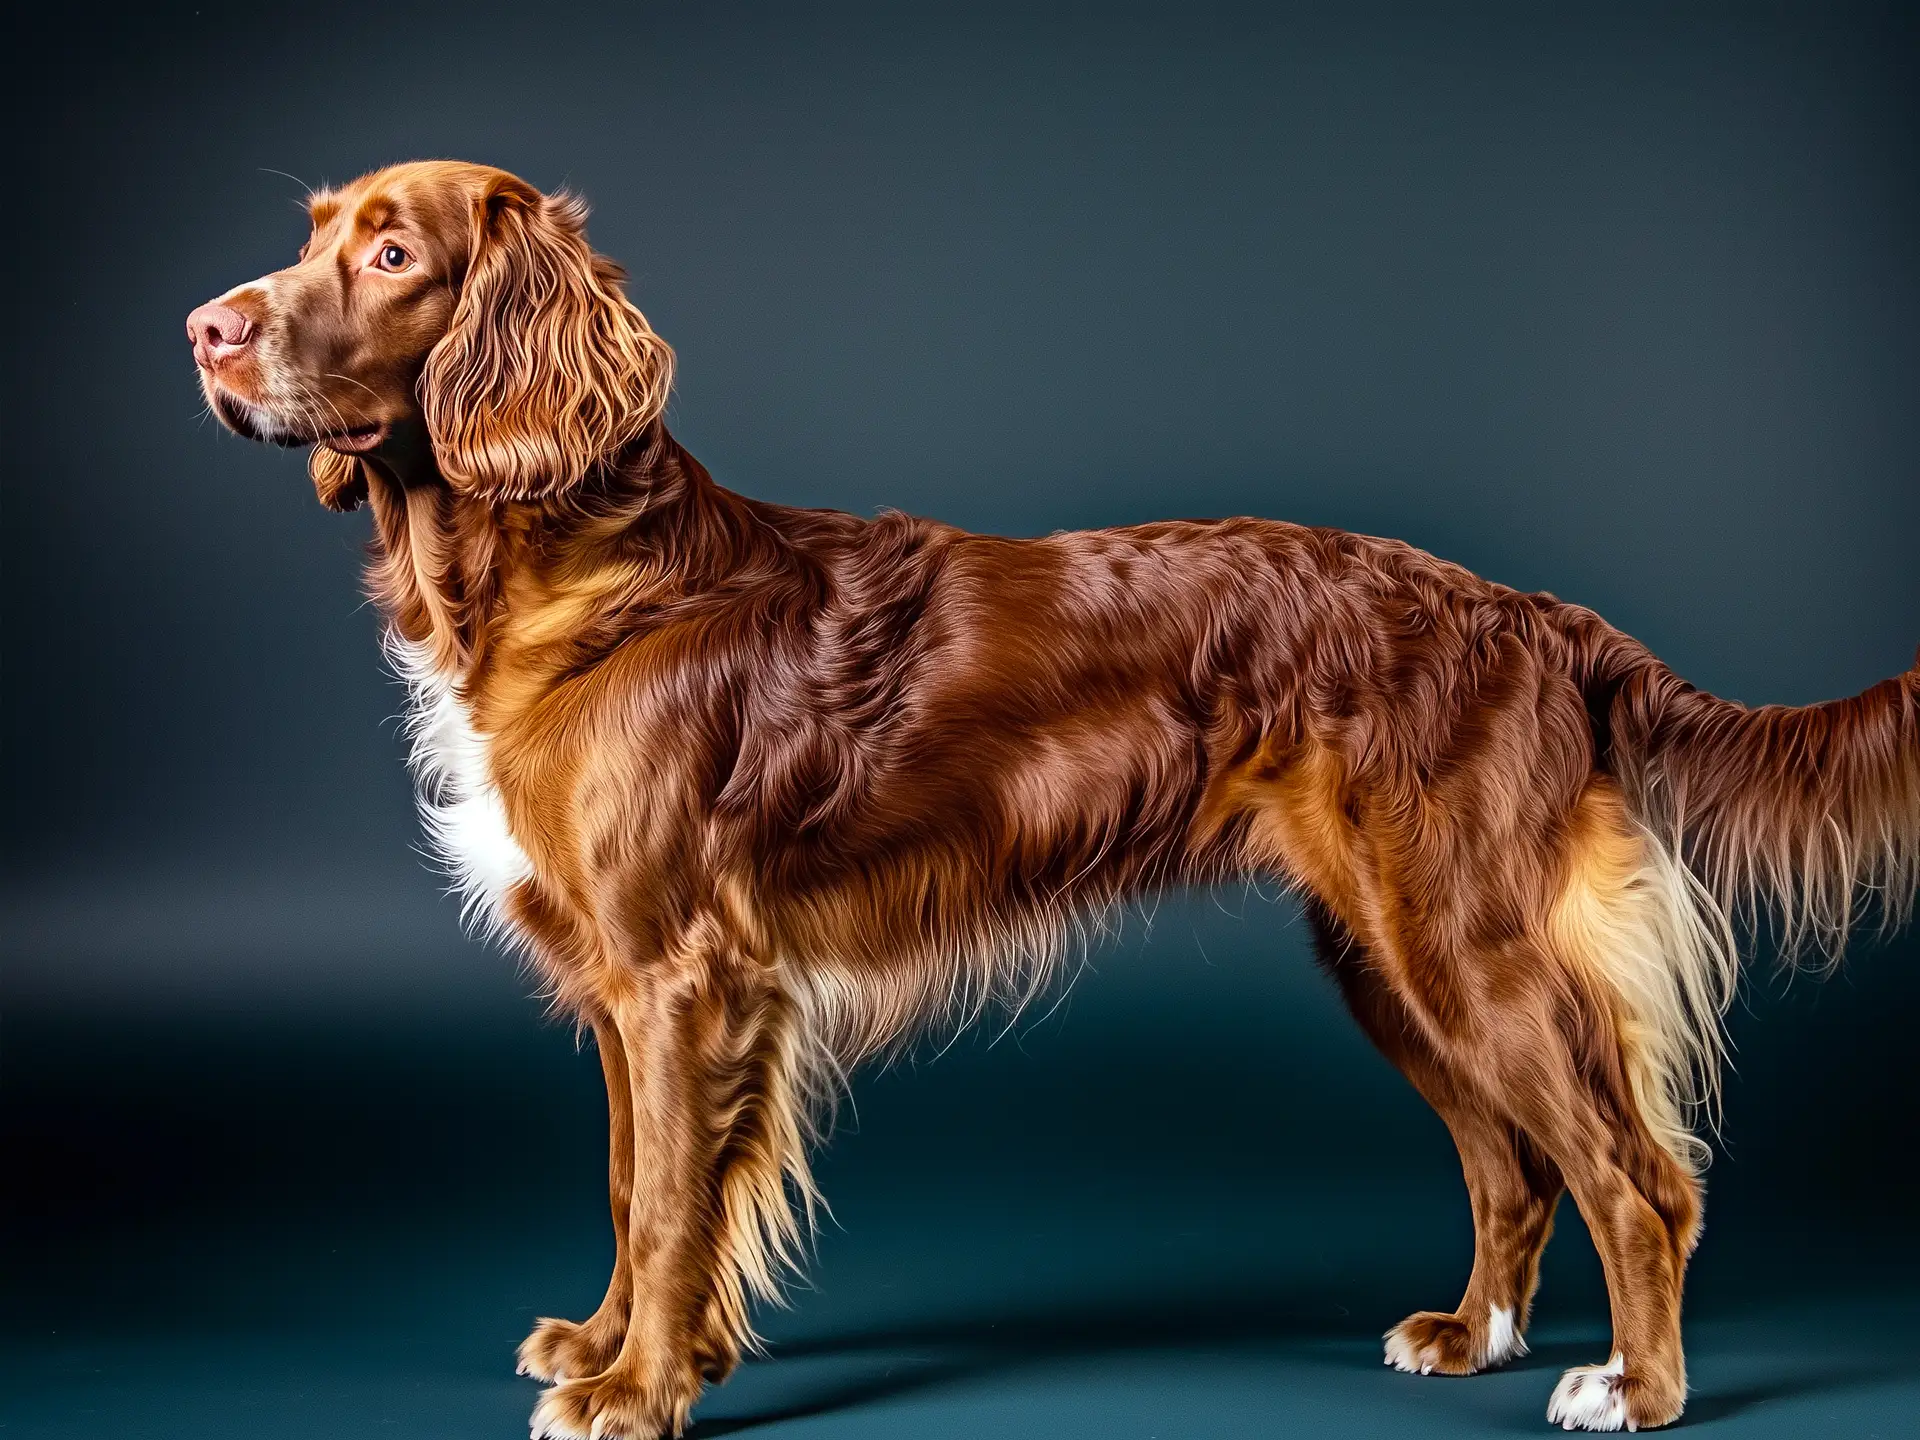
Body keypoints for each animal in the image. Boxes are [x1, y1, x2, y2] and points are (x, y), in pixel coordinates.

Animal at [187, 163, 1912, 1436]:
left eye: (391, 251)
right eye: (309, 234)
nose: (205, 326)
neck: (570, 570)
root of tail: (1535, 613)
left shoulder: (685, 976)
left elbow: (673, 1198)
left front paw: (641, 1394)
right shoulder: (621, 983)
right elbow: (628, 1182)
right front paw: (608, 1348)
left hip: (1466, 938)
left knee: (1638, 1176)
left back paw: (1636, 1386)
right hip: (1386, 952)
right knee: (1516, 1163)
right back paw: (1472, 1332)